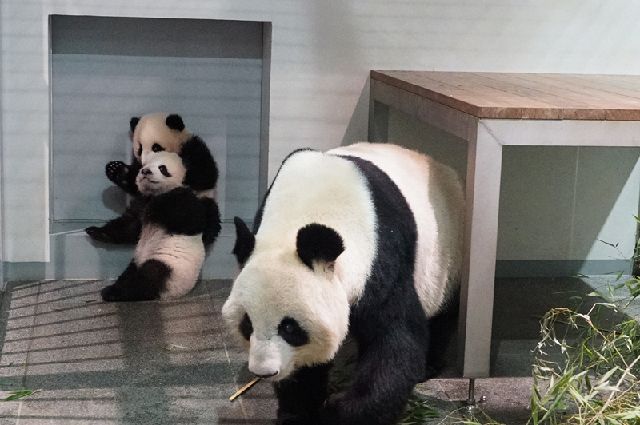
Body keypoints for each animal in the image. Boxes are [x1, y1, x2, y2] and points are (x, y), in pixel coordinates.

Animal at [100, 150, 220, 302]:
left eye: (162, 168)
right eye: (144, 165)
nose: (145, 171)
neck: (154, 193)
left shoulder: (184, 201)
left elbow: (190, 219)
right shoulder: (141, 206)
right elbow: (130, 226)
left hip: (171, 268)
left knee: (148, 278)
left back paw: (114, 293)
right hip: (138, 260)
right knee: (129, 273)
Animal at [222, 142, 462, 424]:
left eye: (289, 328)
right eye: (247, 323)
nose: (264, 371)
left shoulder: (383, 257)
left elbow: (394, 342)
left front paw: (336, 413)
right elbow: (305, 367)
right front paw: (298, 411)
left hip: (447, 258)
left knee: (442, 313)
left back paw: (429, 365)